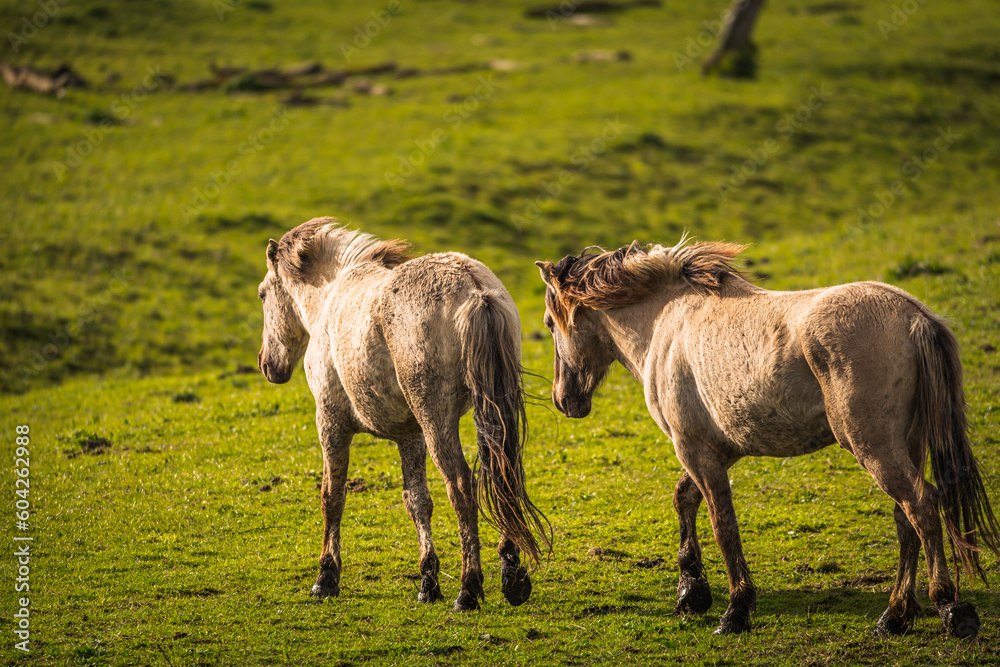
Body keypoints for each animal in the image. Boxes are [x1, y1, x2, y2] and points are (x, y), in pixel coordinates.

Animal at [257, 218, 550, 610]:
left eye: (262, 294)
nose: (267, 364)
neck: (331, 294)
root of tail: (475, 290)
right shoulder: (409, 434)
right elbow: (417, 502)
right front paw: (428, 582)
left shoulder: (330, 422)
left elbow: (332, 496)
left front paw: (326, 577)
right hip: (487, 412)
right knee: (502, 472)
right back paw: (512, 577)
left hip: (437, 420)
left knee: (462, 486)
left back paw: (468, 589)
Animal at [535, 238, 999, 638]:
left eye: (548, 324)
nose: (564, 399)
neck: (665, 321)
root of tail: (914, 315)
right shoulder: (718, 449)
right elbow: (685, 499)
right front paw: (691, 590)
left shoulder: (693, 448)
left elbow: (723, 525)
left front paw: (735, 610)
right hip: (907, 445)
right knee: (907, 521)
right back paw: (894, 617)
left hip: (874, 447)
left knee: (921, 505)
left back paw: (950, 607)